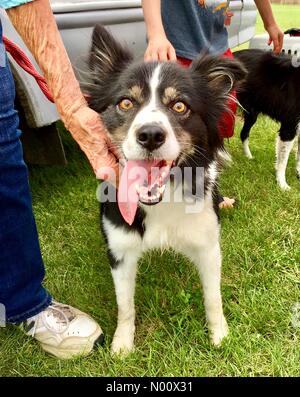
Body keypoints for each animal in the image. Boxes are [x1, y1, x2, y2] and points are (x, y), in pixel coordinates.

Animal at [87, 25, 246, 352]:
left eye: (179, 105)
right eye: (125, 102)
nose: (150, 135)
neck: (161, 200)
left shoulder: (208, 244)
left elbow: (213, 297)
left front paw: (220, 336)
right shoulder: (119, 248)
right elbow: (125, 305)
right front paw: (122, 345)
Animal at [234, 48, 300, 190]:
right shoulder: (289, 127)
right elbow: (283, 160)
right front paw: (282, 184)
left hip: (251, 114)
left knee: (243, 134)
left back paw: (249, 157)